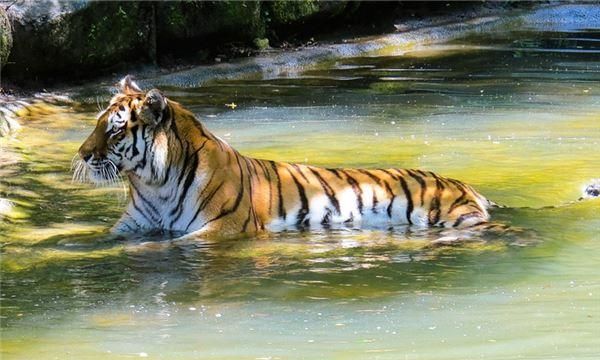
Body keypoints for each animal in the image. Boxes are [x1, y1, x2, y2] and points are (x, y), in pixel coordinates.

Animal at [76, 75, 496, 236]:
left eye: (114, 130)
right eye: (97, 124)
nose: (81, 154)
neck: (154, 183)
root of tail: (464, 184)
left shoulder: (221, 229)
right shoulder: (129, 227)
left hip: (453, 217)